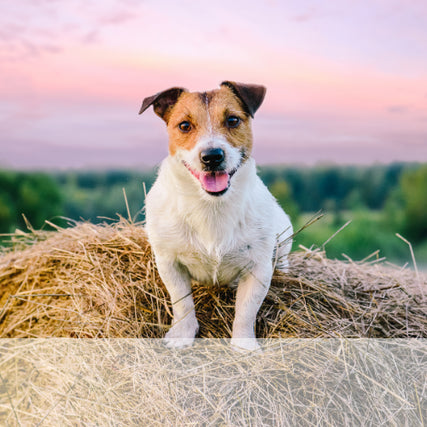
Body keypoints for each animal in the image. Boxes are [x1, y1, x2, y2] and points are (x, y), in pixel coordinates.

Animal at [139, 80, 292, 352]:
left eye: (232, 120)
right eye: (184, 125)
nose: (212, 157)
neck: (211, 206)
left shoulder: (258, 268)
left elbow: (246, 311)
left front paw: (243, 345)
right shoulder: (169, 263)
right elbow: (183, 304)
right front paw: (182, 336)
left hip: (285, 235)